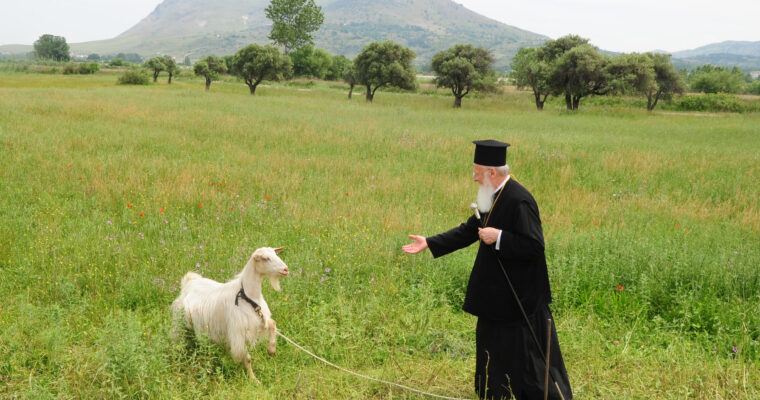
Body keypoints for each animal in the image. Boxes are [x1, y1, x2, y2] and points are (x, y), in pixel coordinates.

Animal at [171, 247, 290, 382]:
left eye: (275, 254)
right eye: (266, 258)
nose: (286, 269)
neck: (247, 296)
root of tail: (188, 282)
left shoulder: (258, 320)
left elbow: (272, 324)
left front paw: (271, 350)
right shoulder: (238, 332)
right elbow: (247, 358)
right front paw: (254, 380)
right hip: (179, 322)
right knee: (177, 339)